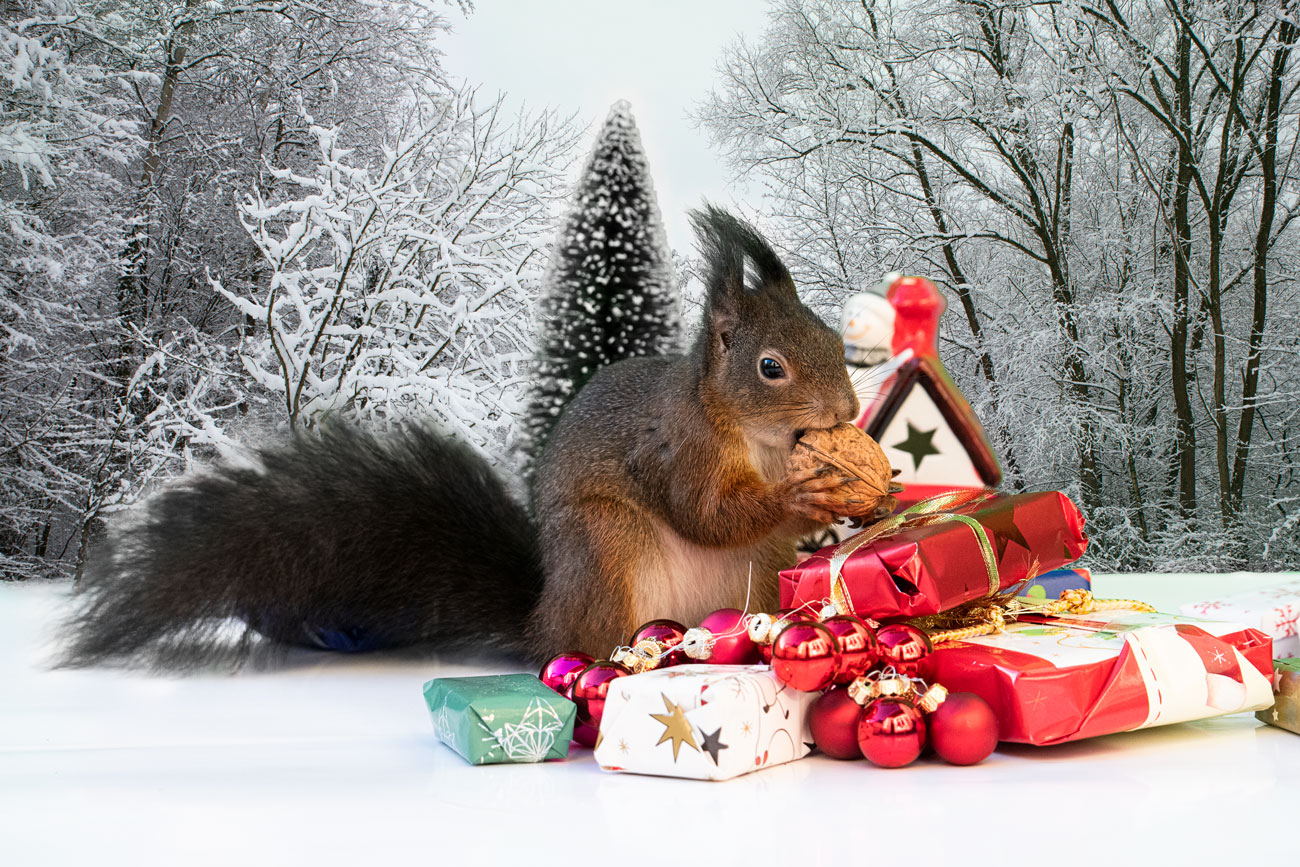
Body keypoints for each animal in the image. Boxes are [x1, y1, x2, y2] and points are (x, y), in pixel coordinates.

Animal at [65, 207, 883, 670]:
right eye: (771, 366)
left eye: (828, 336)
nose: (847, 408)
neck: (756, 438)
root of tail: (543, 621)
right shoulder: (675, 449)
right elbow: (705, 511)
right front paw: (801, 493)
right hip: (606, 547)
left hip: (752, 578)